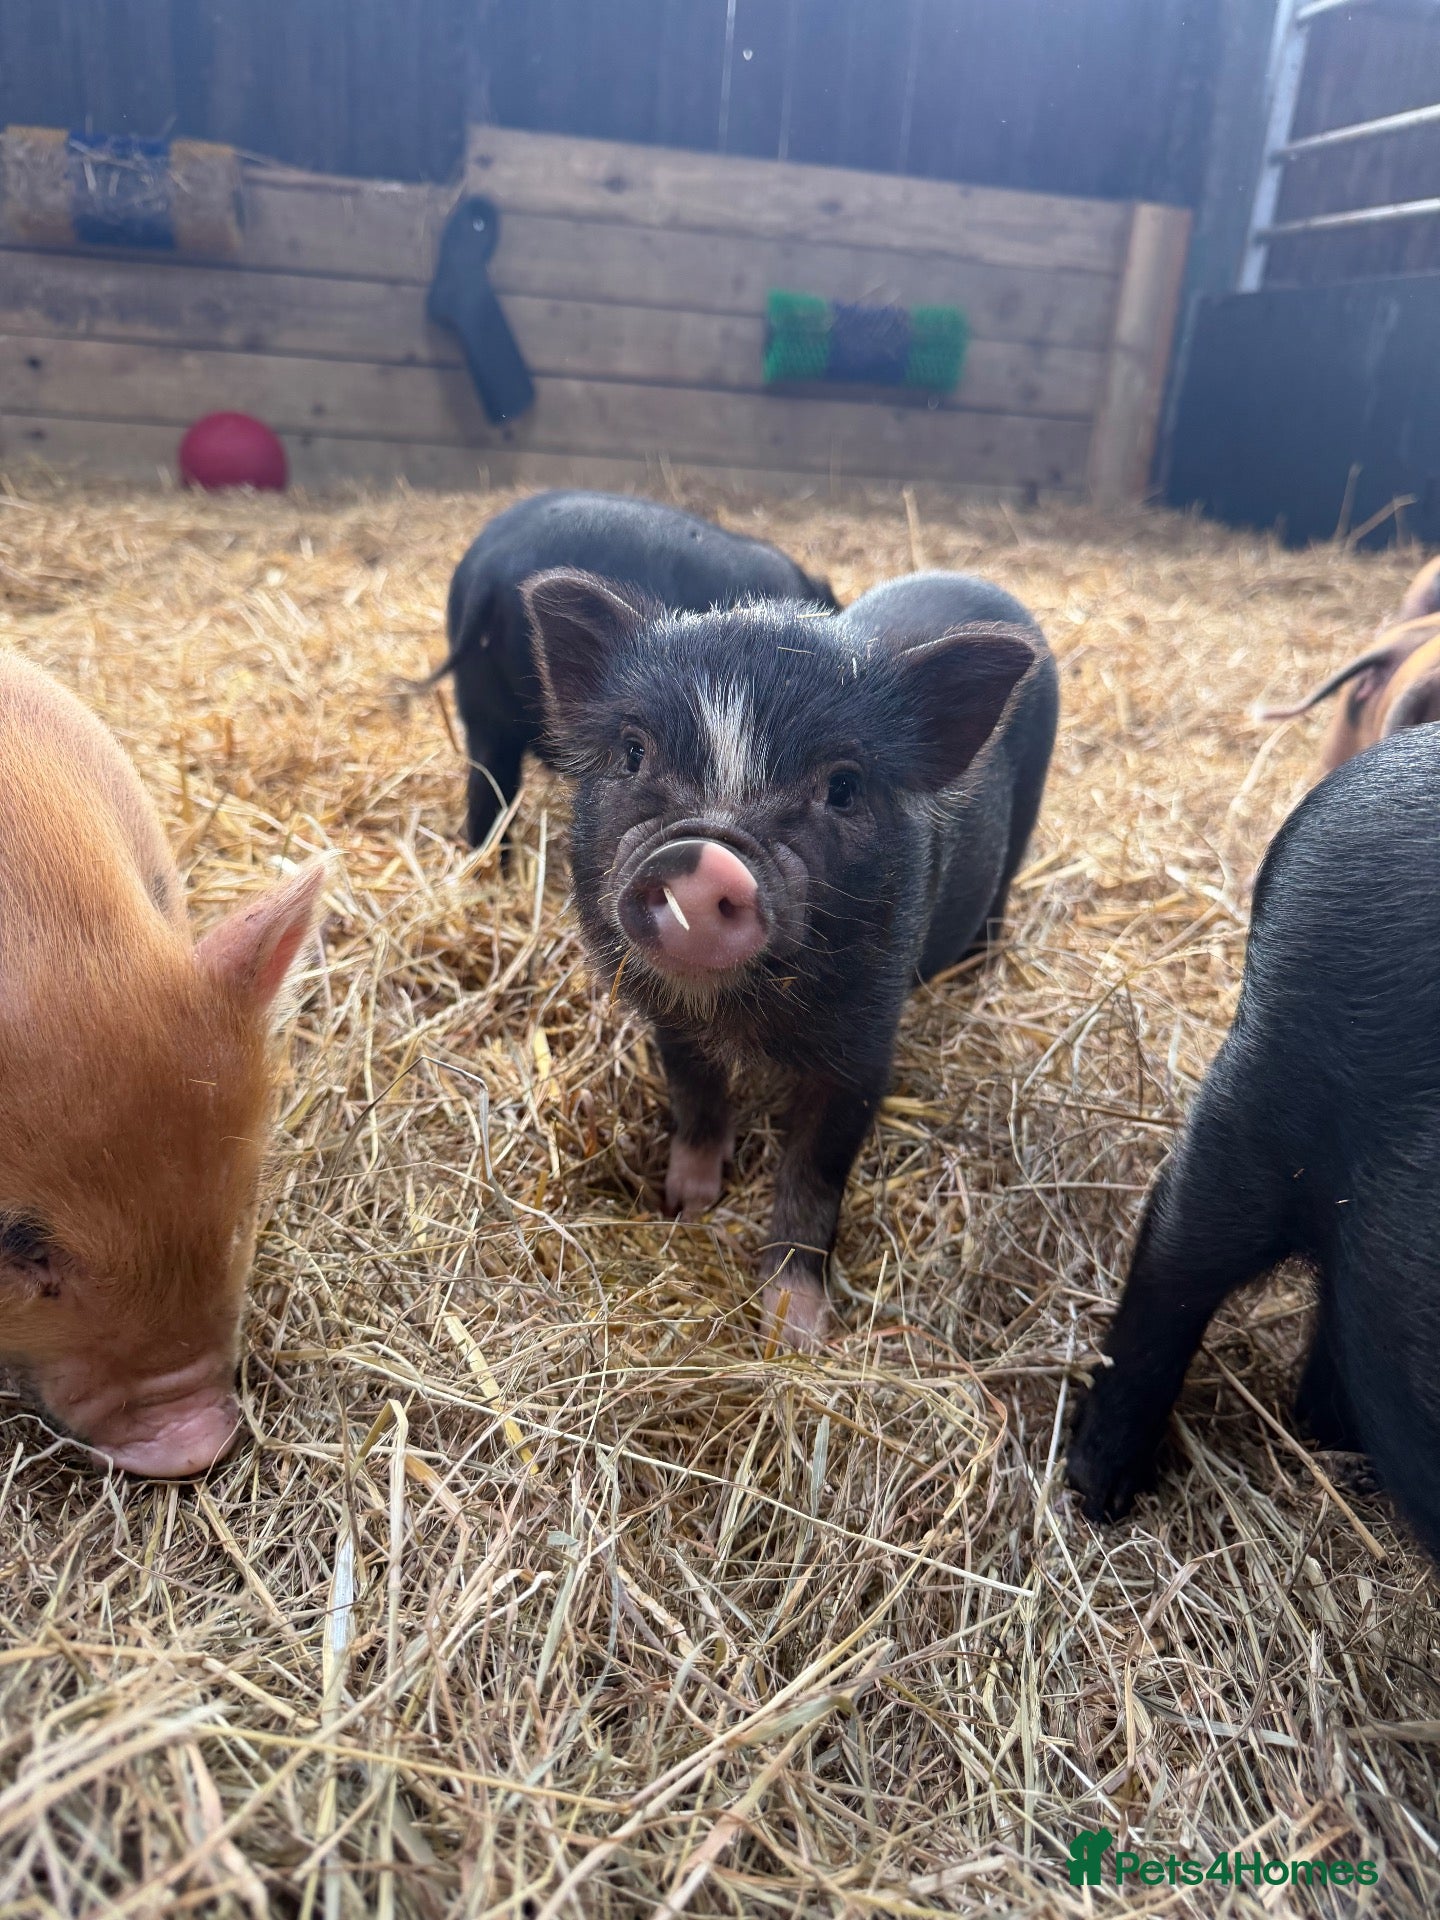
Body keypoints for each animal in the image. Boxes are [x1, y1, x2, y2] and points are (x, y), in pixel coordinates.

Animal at [524, 566, 1057, 1346]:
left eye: (843, 786)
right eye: (633, 753)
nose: (701, 857)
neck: (740, 1015)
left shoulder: (864, 1048)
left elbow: (813, 1174)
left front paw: (794, 1332)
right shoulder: (672, 1023)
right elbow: (696, 1100)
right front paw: (685, 1205)